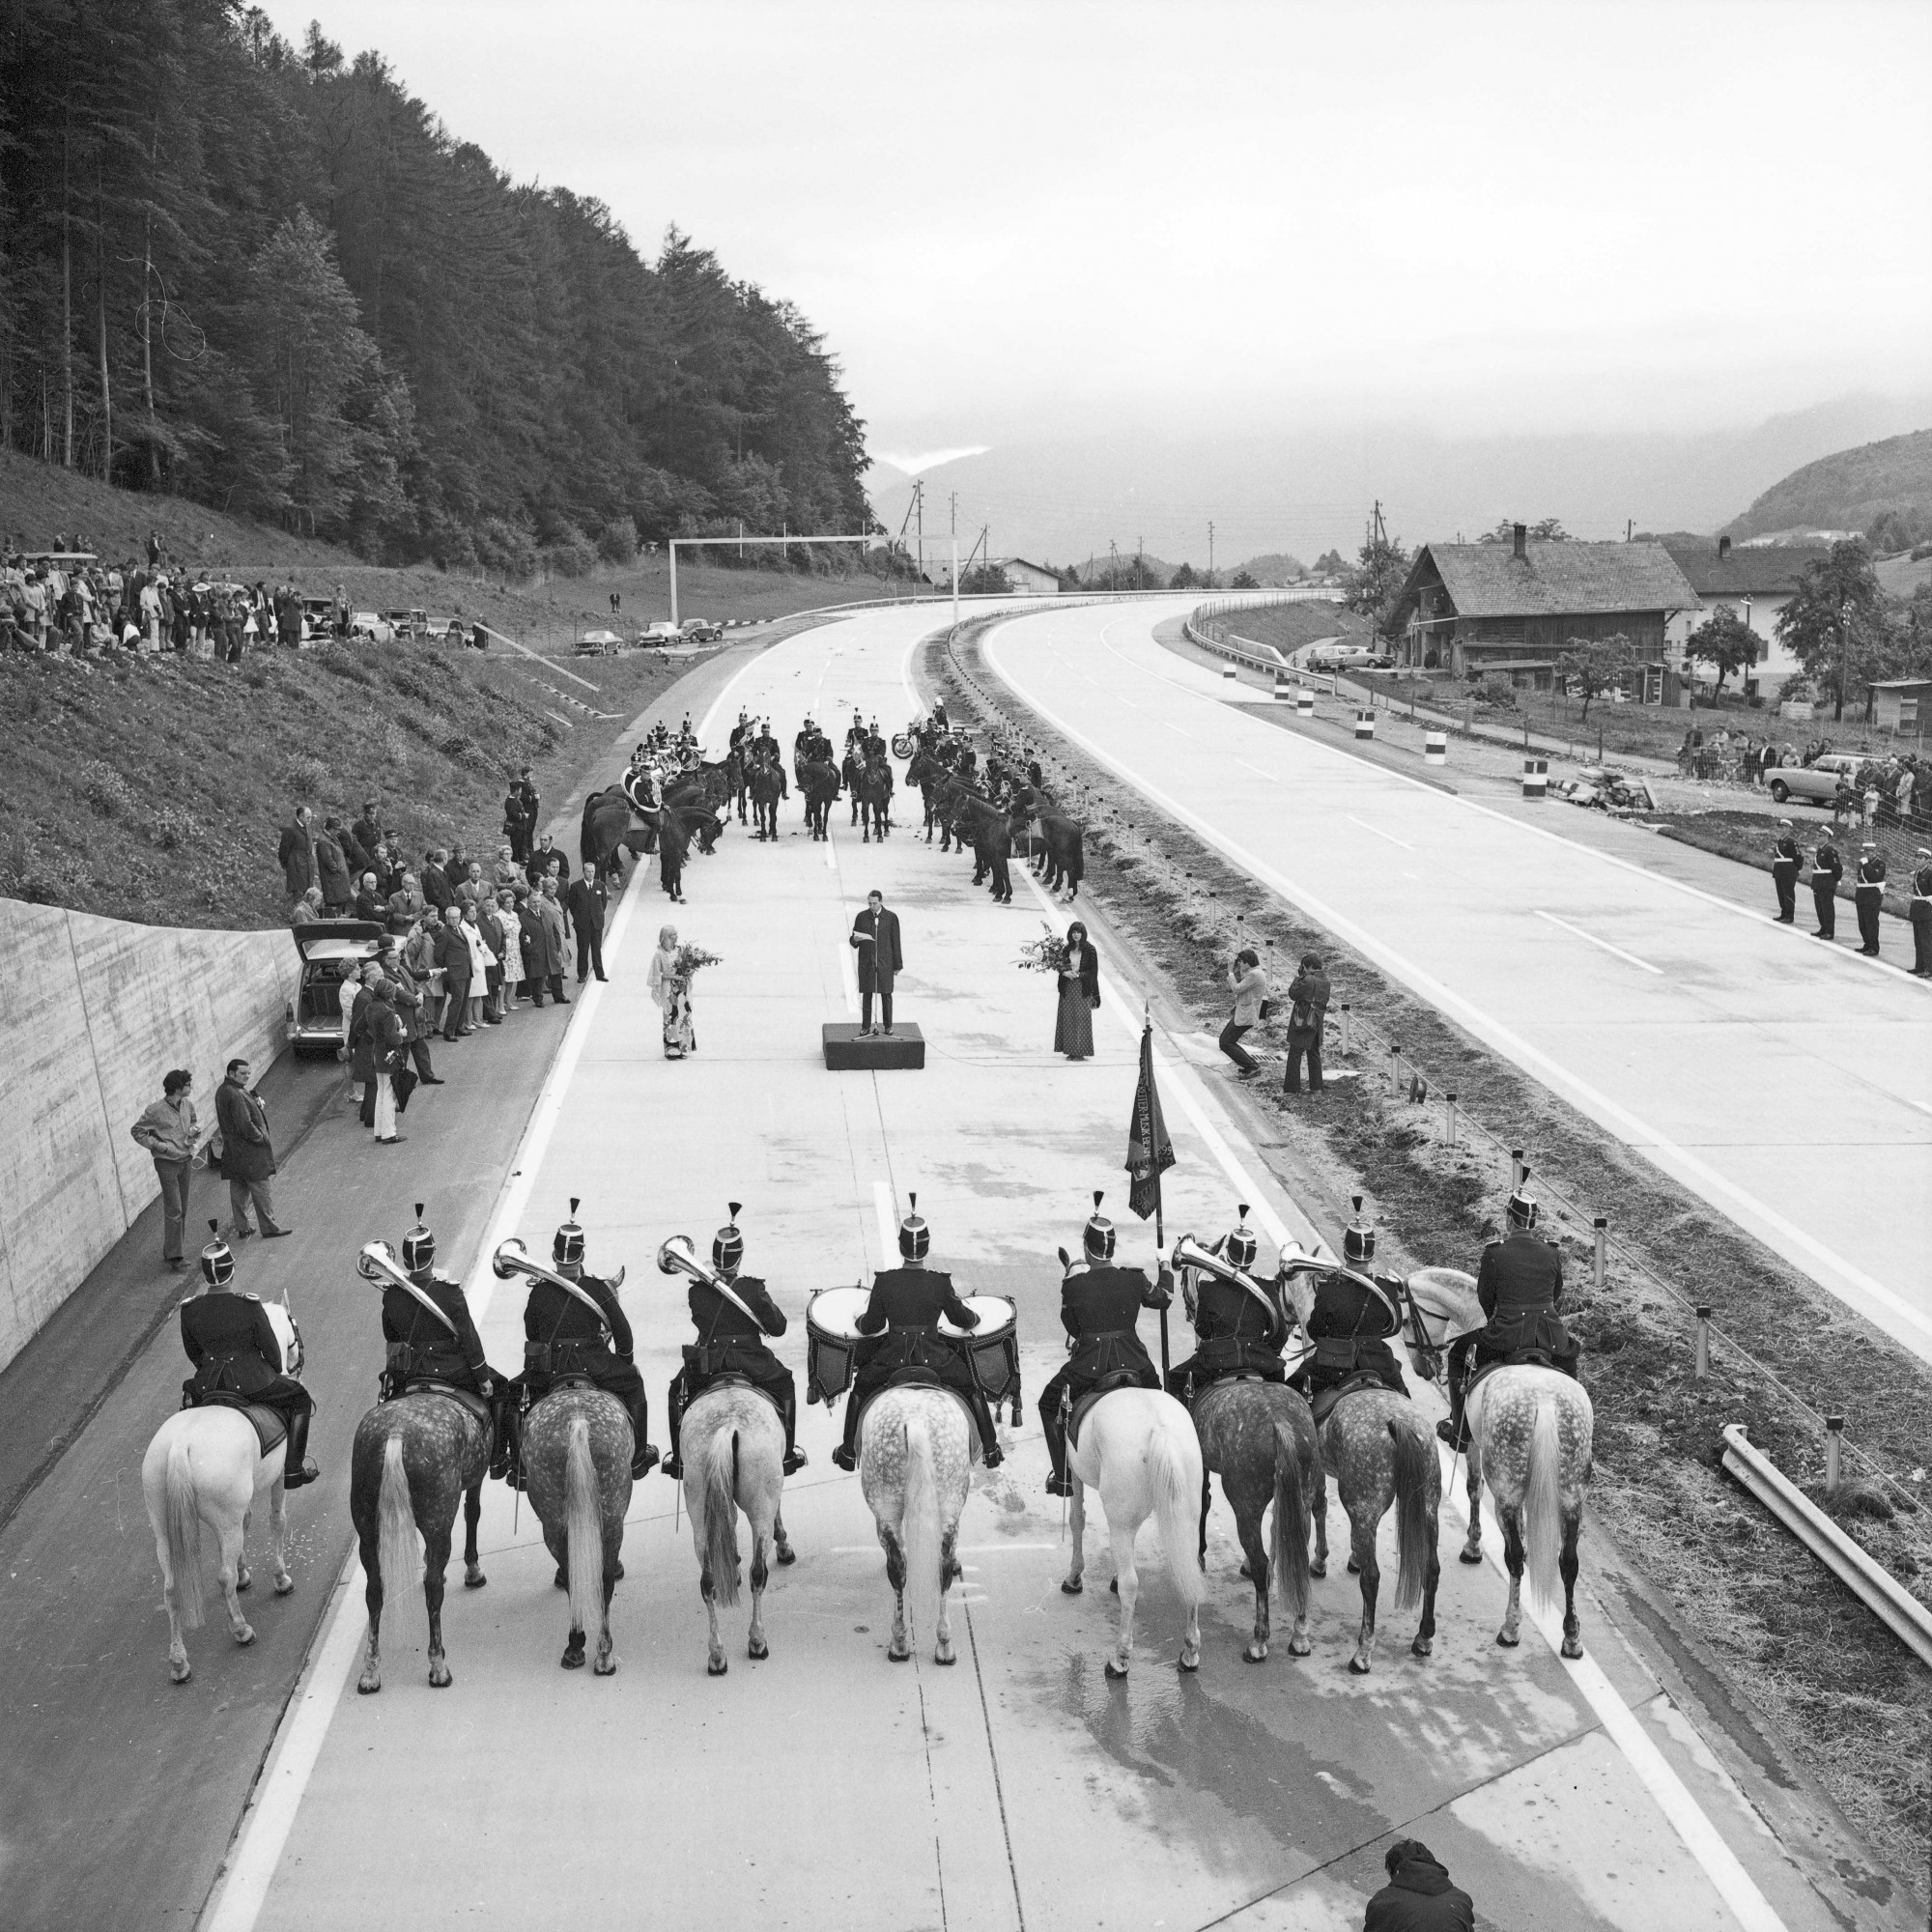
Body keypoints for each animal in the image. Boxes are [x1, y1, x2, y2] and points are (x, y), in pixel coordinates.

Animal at [143, 1298, 303, 1692]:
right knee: (221, 1577)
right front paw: (280, 1579)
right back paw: (241, 1630)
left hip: (162, 1529)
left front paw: (246, 1573)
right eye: (293, 1328)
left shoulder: (234, 1511)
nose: (296, 1365)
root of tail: (180, 1444)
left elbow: (247, 1526)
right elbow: (277, 1521)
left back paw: (179, 1662)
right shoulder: (279, 1480)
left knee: (171, 1589)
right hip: (221, 1518)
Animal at [684, 1391, 796, 1677]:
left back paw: (717, 1655)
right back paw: (757, 1641)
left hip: (699, 1509)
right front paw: (784, 1546)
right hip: (761, 1505)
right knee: (758, 1573)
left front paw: (732, 1564)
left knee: (707, 1582)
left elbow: (730, 1520)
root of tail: (728, 1426)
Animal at [862, 1391, 974, 1662]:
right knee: (942, 1568)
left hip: (885, 1506)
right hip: (949, 1502)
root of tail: (915, 1421)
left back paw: (901, 1641)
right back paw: (940, 1644)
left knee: (898, 1568)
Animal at [1066, 1391, 1198, 1677]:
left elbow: (1076, 1519)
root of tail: (1159, 1429)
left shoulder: (1073, 1470)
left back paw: (1120, 1658)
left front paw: (1074, 1577)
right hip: (1187, 1520)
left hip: (1120, 1522)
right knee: (1192, 1575)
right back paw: (1190, 1652)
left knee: (1130, 1585)